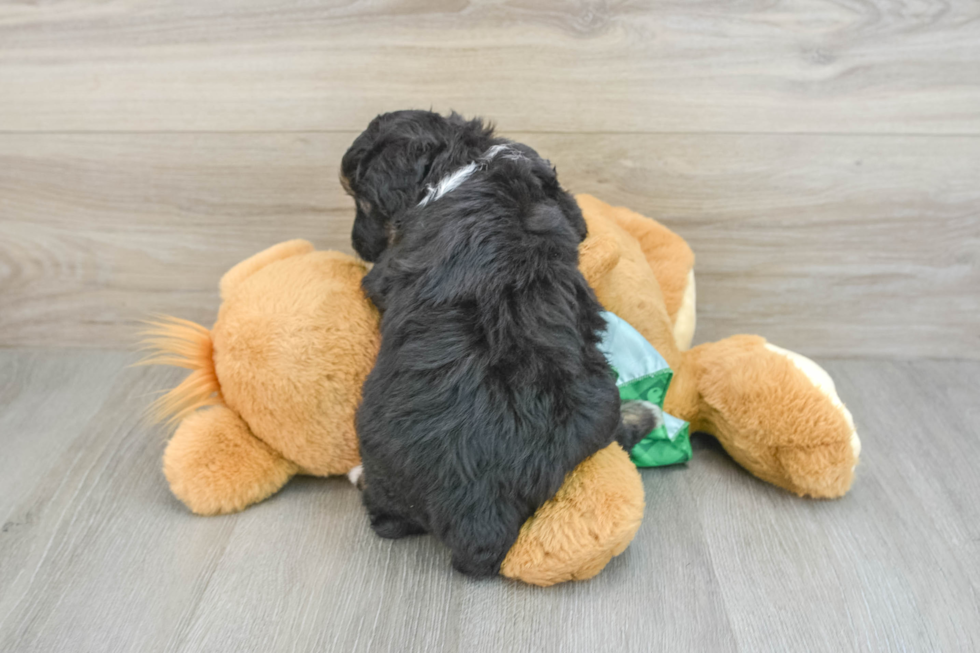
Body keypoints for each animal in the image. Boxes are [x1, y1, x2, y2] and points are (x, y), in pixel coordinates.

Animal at [340, 112, 656, 576]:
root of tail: (480, 508)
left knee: (388, 520)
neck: (466, 161)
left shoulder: (388, 270)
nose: (356, 245)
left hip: (379, 451)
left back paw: (359, 477)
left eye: (361, 202)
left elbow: (376, 280)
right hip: (600, 403)